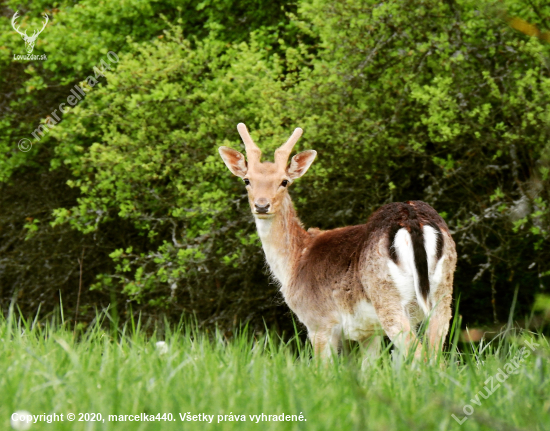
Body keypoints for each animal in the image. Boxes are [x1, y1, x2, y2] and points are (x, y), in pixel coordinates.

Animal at [220, 123, 458, 360]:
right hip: (443, 295)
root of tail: (412, 220)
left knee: (419, 355)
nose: (261, 205)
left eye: (284, 181)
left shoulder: (319, 322)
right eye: (247, 180)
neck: (294, 263)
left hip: (388, 298)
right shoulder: (369, 333)